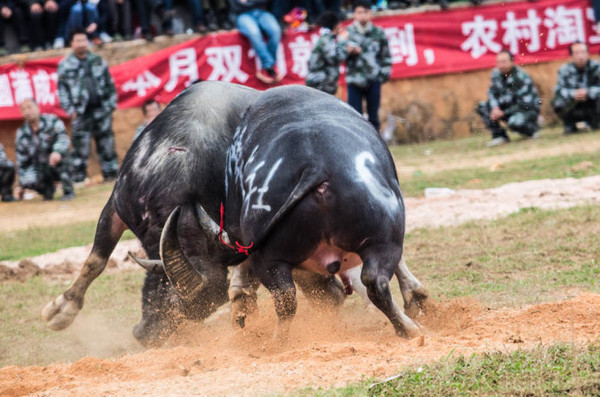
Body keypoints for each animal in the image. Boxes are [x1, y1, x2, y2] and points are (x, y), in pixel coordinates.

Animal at [157, 86, 424, 338]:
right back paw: (410, 328)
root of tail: (314, 167)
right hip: (382, 236)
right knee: (373, 282)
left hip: (274, 257)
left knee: (287, 296)